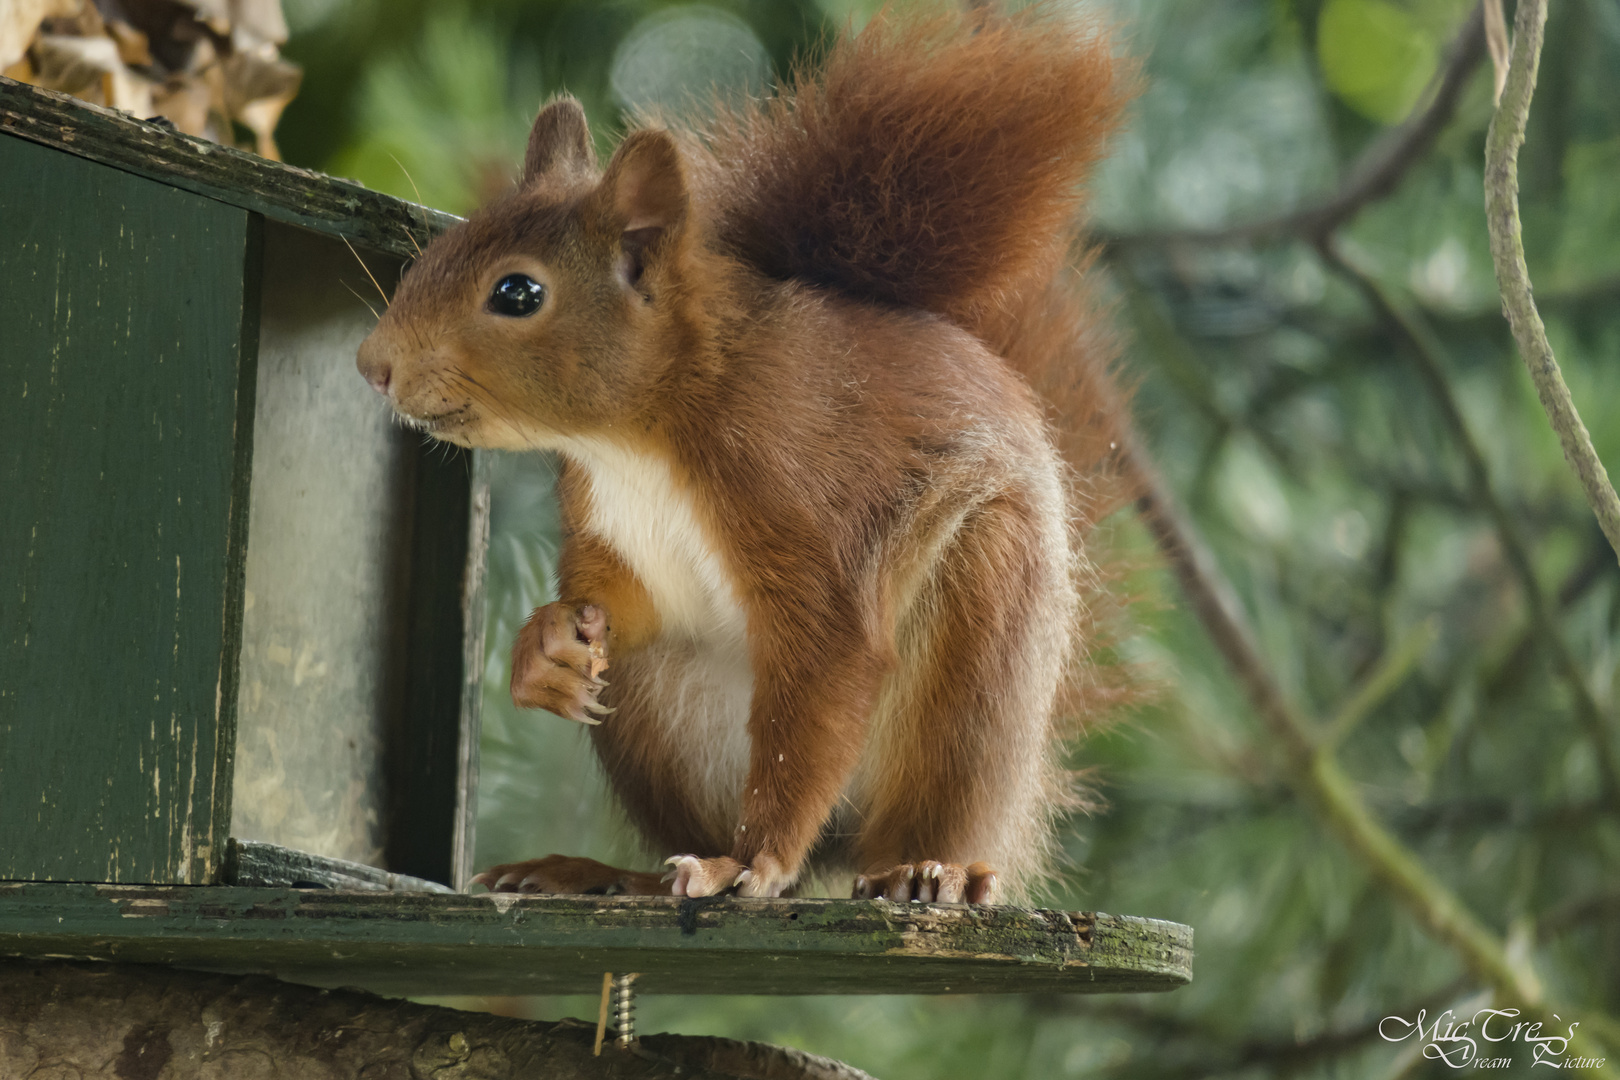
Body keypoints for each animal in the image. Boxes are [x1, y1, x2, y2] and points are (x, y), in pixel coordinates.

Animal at [361, 8, 1134, 906]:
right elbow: (617, 600)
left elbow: (824, 675)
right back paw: (602, 874)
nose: (372, 364)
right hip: (658, 703)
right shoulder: (613, 531)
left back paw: (920, 868)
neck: (634, 441)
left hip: (979, 637)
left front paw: (751, 861)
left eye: (517, 293)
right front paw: (547, 647)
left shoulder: (803, 507)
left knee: (923, 807)